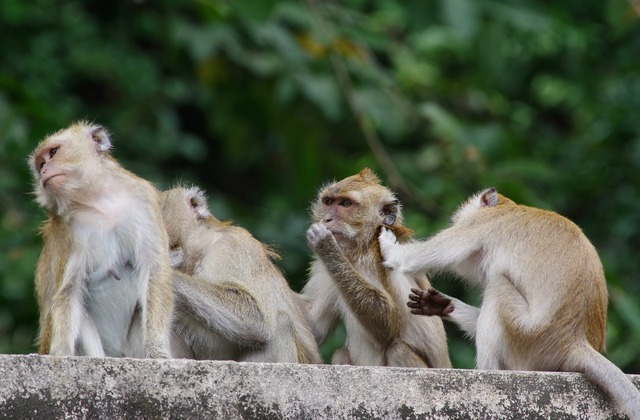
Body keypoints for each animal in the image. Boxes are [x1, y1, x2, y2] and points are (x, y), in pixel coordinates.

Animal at [30, 121, 172, 358]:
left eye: (54, 152)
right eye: (40, 164)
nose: (43, 171)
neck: (99, 201)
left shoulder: (143, 199)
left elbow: (154, 270)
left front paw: (156, 351)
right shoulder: (69, 231)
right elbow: (69, 291)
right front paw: (61, 354)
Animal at [380, 189, 640, 418]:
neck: (507, 207)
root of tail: (573, 343)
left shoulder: (479, 226)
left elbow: (411, 260)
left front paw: (386, 242)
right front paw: (440, 305)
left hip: (526, 339)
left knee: (498, 286)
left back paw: (486, 374)